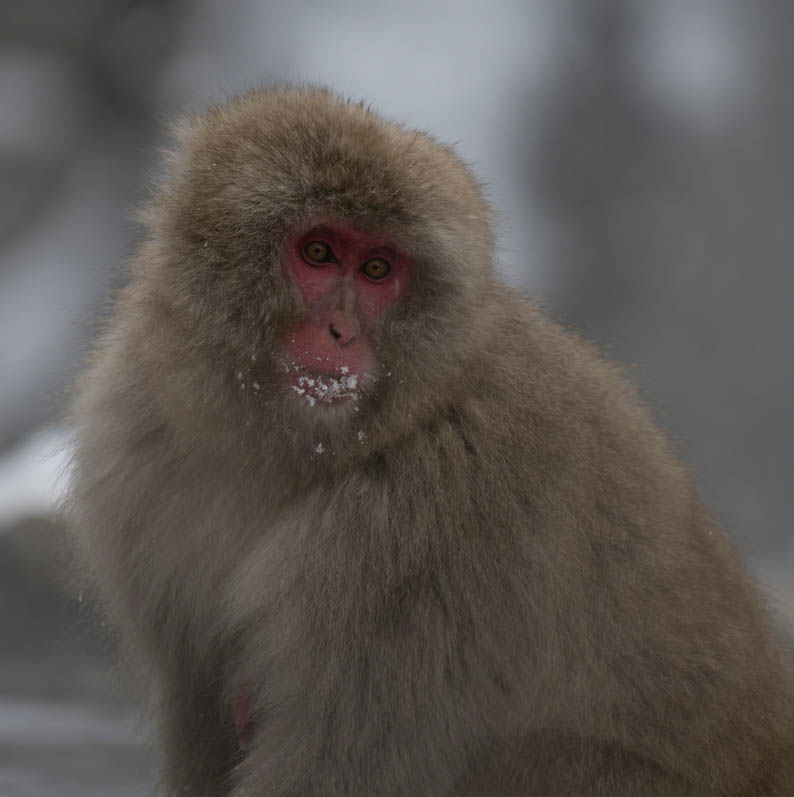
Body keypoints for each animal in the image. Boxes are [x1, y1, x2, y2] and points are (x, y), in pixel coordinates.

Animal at [67, 85, 794, 796]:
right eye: (319, 253)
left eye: (378, 270)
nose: (340, 332)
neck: (290, 456)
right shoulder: (135, 441)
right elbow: (199, 710)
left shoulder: (422, 531)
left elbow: (344, 763)